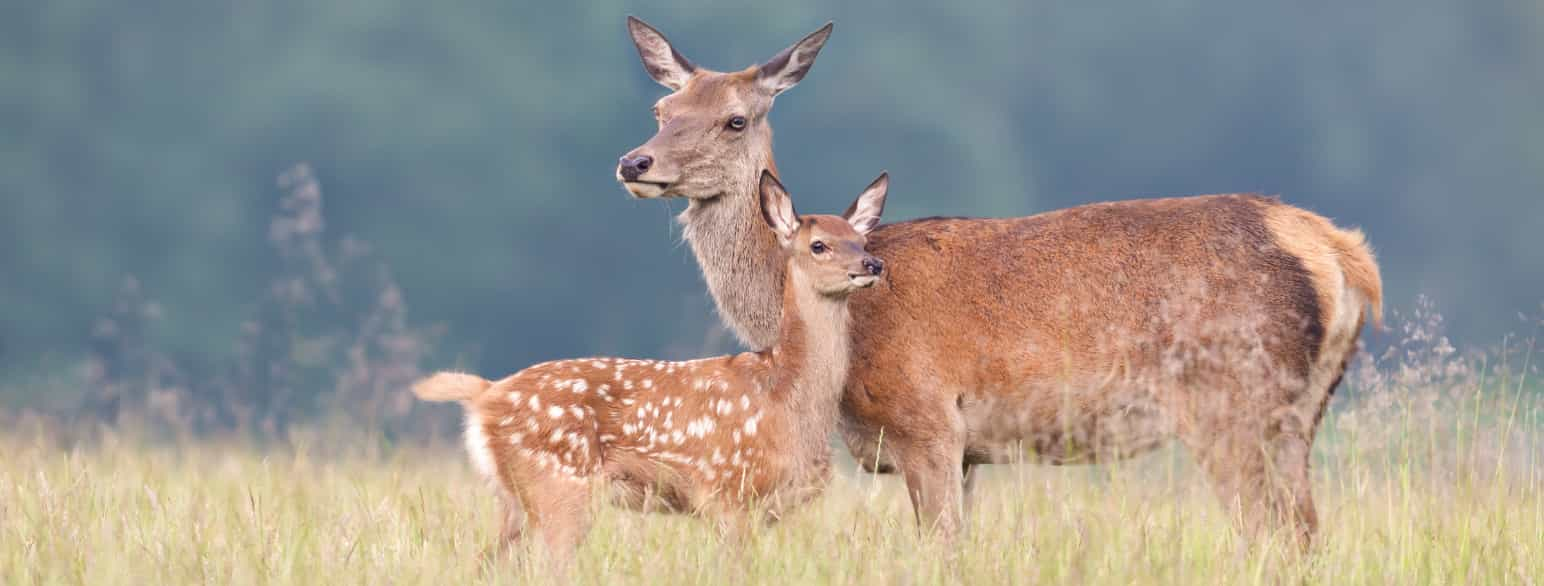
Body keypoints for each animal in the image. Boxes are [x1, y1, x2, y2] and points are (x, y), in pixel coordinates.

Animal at [416, 171, 889, 564]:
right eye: (819, 245)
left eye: (861, 241)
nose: (872, 265)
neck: (786, 392)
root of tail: (485, 393)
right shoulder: (727, 491)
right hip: (558, 486)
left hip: (514, 498)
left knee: (483, 562)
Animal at [617, 15, 1389, 545]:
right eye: (661, 110)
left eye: (735, 119)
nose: (635, 162)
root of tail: (1340, 253)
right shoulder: (969, 453)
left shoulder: (926, 419)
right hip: (1298, 413)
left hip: (1236, 402)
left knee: (1277, 536)